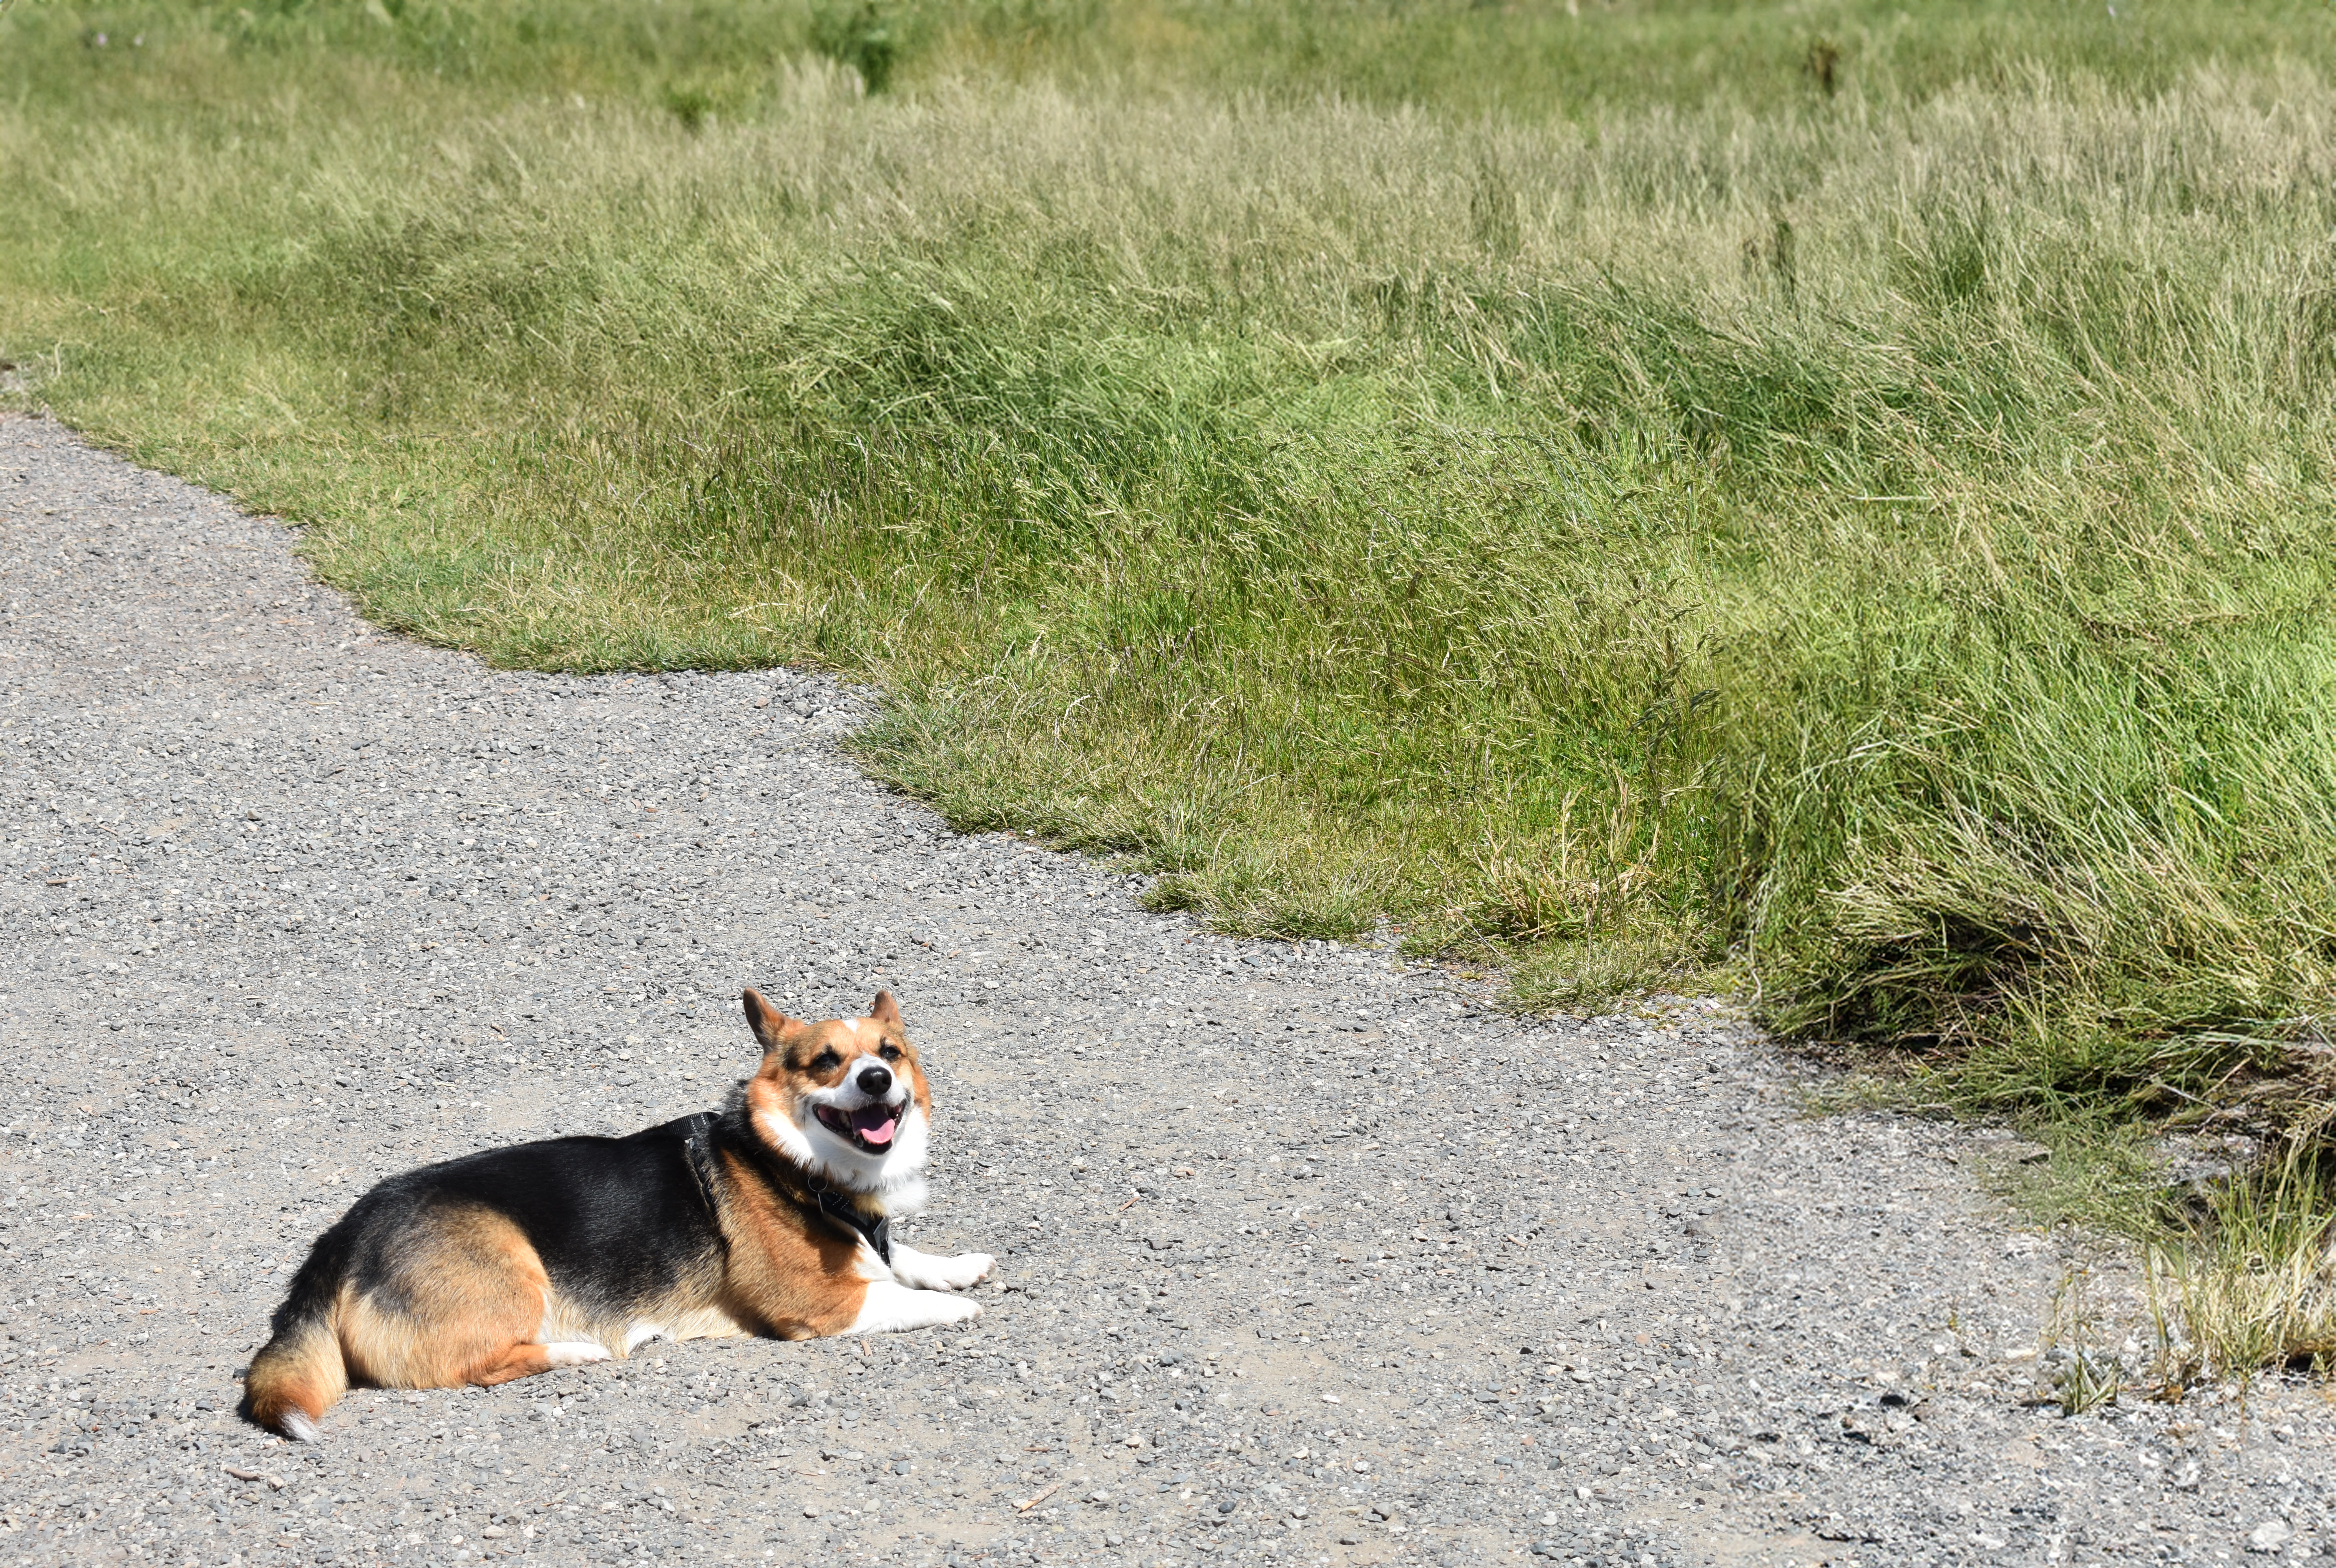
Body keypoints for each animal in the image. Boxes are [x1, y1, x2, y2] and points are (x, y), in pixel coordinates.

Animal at [242, 995, 990, 1448]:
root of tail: (342, 1237)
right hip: (517, 1274)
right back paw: (575, 1349)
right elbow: (892, 1294)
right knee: (475, 1364)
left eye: (889, 1053)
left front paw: (958, 1267)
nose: (874, 1080)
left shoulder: (871, 1245)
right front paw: (952, 1306)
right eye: (826, 1062)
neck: (799, 1165)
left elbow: (901, 1257)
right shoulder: (814, 1302)